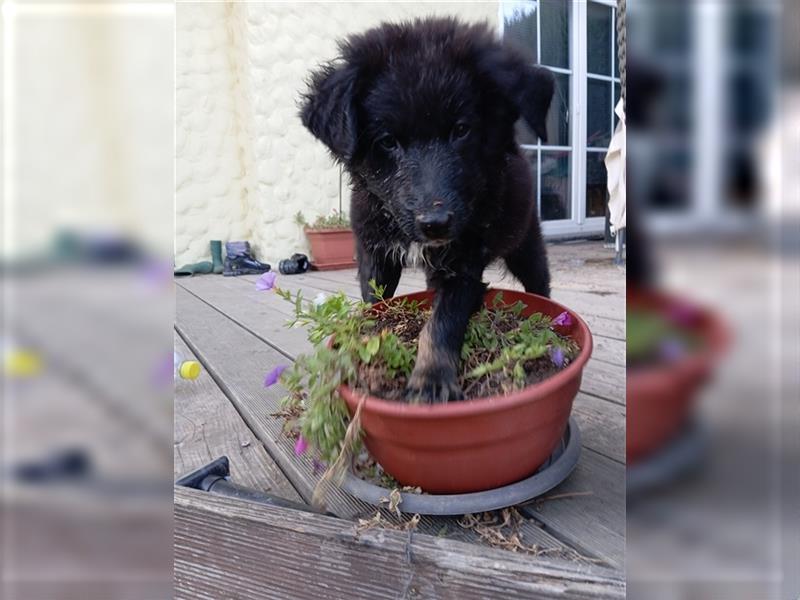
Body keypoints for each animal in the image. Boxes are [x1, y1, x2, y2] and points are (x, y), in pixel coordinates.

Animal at [296, 17, 552, 404]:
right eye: (387, 141)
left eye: (461, 130)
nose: (436, 224)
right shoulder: (374, 252)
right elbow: (374, 303)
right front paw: (363, 345)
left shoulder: (463, 265)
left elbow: (442, 323)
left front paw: (431, 381)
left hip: (526, 244)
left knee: (540, 283)